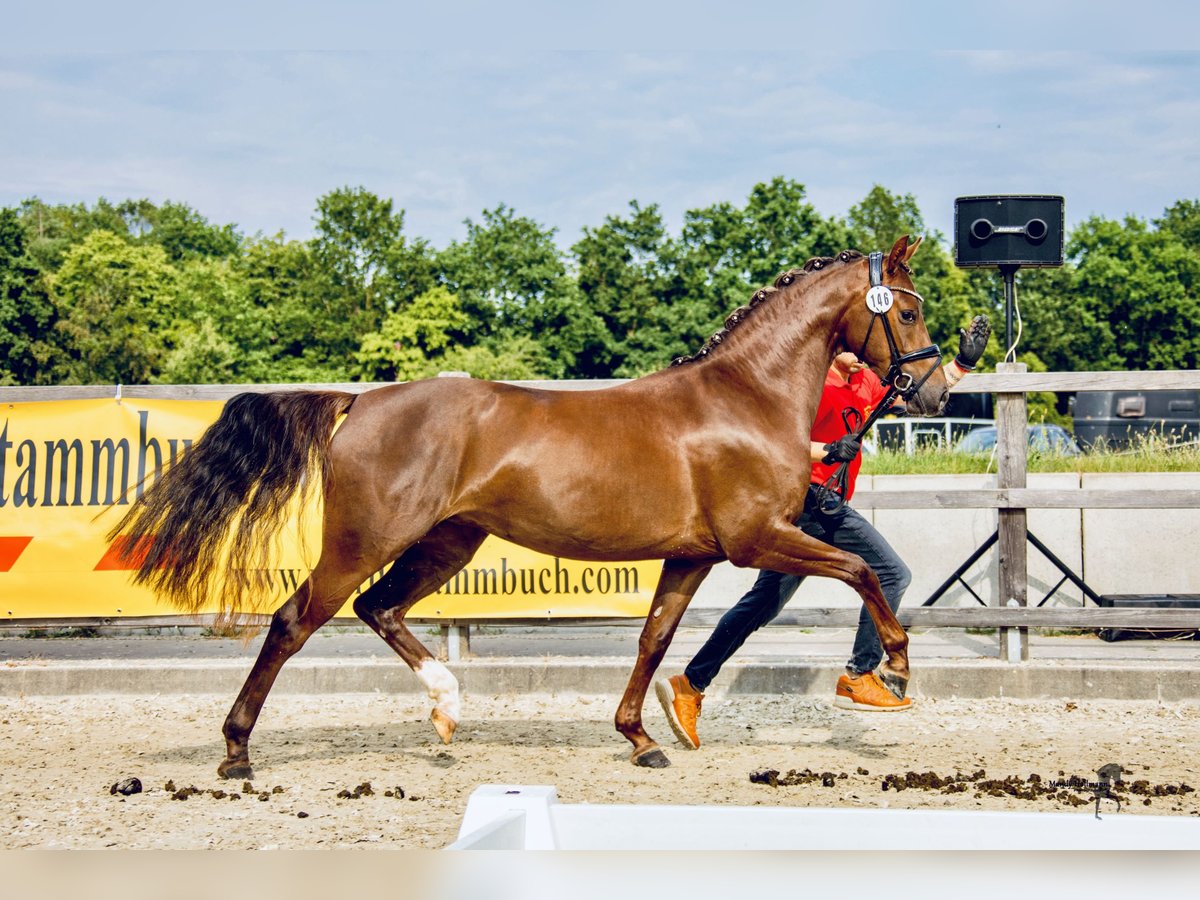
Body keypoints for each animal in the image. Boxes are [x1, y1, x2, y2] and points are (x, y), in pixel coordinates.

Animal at [117, 234, 950, 777]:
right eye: (907, 313)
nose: (936, 391)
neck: (745, 398)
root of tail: (362, 401)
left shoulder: (693, 555)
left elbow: (653, 640)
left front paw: (641, 738)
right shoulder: (757, 540)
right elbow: (860, 572)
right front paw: (895, 671)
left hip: (448, 541)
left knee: (379, 609)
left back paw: (447, 708)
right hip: (365, 540)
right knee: (296, 620)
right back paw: (237, 751)